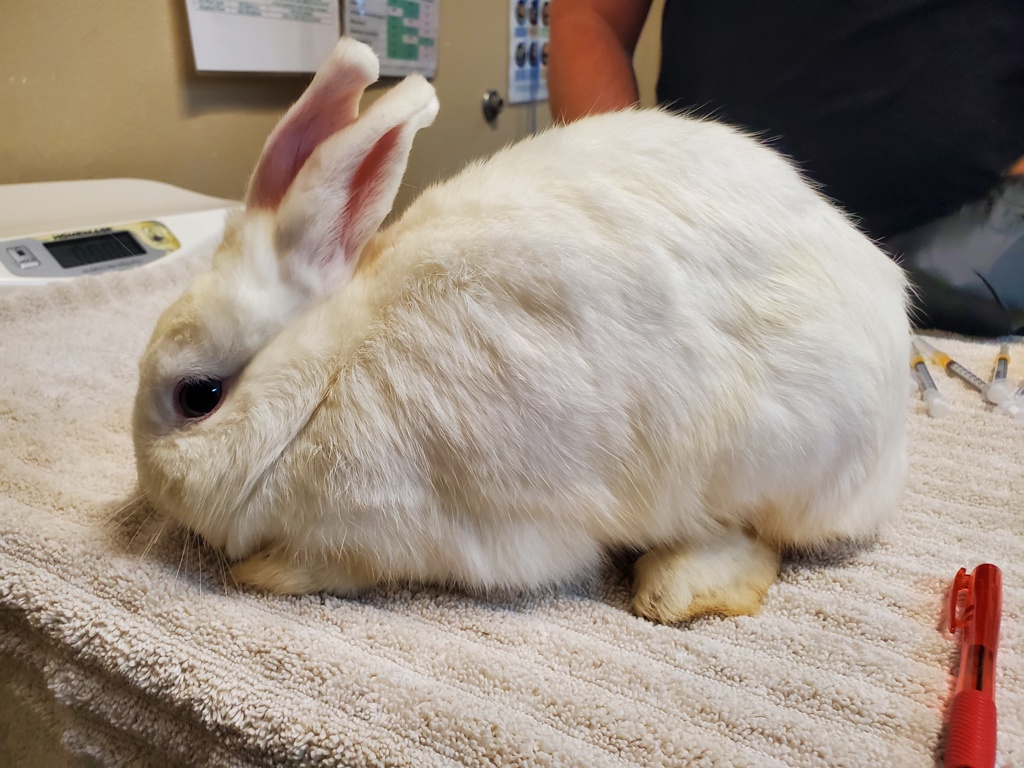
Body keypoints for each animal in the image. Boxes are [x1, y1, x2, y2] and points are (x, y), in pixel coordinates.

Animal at [132, 37, 911, 624]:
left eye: (198, 396)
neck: (324, 379)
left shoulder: (404, 528)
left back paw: (672, 589)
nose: (148, 485)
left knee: (753, 537)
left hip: (756, 457)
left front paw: (261, 571)